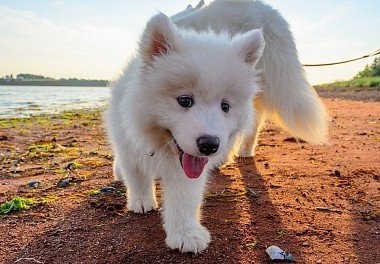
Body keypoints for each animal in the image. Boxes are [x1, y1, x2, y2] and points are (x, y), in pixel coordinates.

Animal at [105, 0, 328, 254]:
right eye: (184, 100)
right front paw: (141, 202)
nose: (210, 145)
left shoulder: (187, 168)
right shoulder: (127, 144)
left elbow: (184, 198)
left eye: (225, 106)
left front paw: (185, 233)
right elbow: (137, 177)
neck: (158, 142)